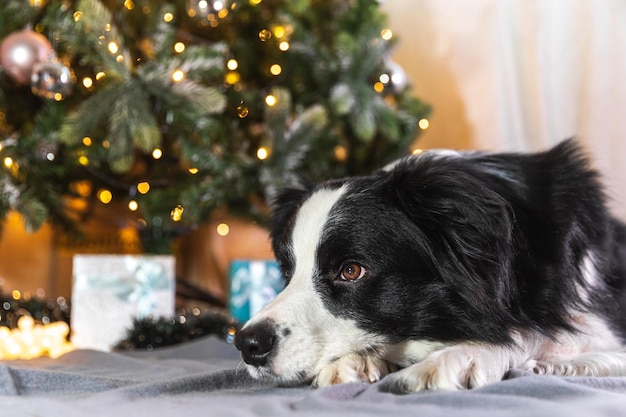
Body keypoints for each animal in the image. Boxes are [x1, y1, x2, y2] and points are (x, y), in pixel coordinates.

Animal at [234, 140, 624, 390]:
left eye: (351, 270)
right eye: (287, 272)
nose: (247, 344)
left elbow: (531, 331)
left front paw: (455, 359)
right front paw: (352, 362)